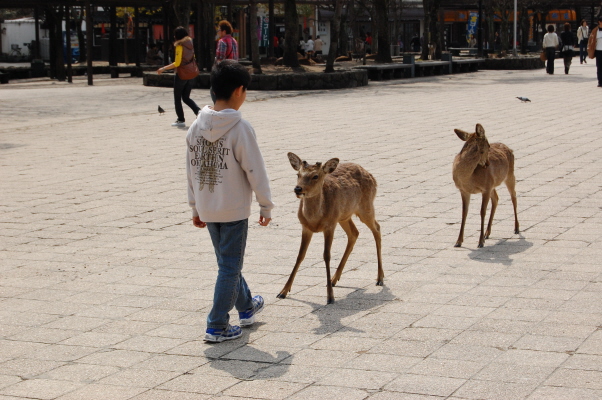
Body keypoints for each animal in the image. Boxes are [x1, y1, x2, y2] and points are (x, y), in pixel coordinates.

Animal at [278, 152, 384, 304]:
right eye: (298, 174)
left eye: (315, 176)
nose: (297, 189)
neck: (314, 220)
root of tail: (370, 175)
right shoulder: (305, 227)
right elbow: (300, 256)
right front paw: (283, 291)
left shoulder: (329, 226)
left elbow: (326, 255)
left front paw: (330, 297)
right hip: (344, 216)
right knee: (354, 233)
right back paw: (334, 279)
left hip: (366, 206)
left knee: (377, 228)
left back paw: (380, 278)